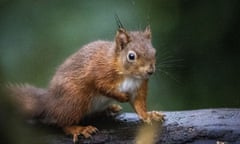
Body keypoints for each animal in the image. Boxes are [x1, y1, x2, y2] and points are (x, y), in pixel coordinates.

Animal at [7, 26, 165, 142]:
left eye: (155, 52)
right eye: (131, 56)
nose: (150, 71)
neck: (129, 75)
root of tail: (48, 102)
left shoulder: (139, 86)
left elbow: (139, 105)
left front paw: (149, 115)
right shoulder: (98, 72)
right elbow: (101, 86)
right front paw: (121, 97)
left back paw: (108, 109)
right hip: (76, 99)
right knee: (62, 122)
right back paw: (78, 129)